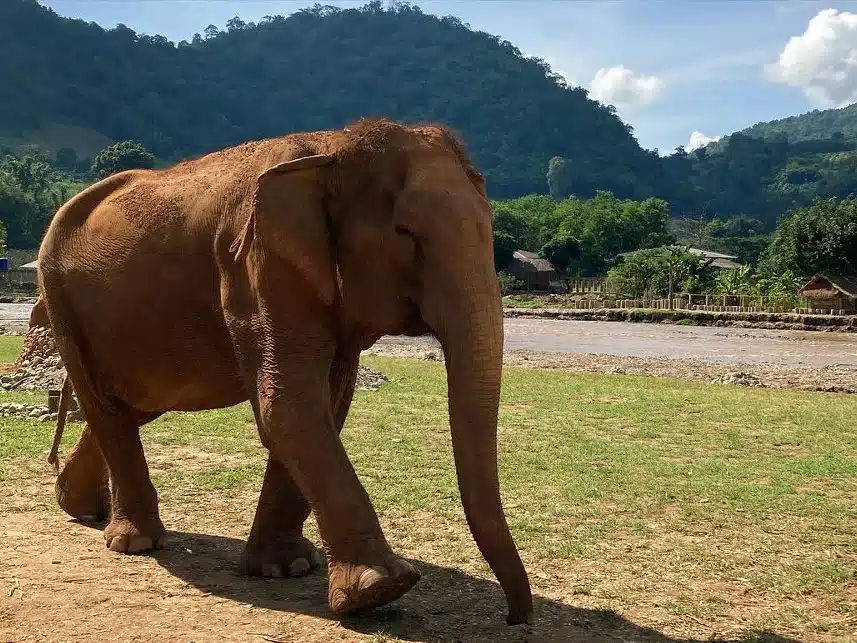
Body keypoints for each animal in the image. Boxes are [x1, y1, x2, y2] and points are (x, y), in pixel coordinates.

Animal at [37, 118, 532, 625]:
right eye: (404, 231)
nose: (514, 617)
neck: (332, 148)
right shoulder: (255, 265)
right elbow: (289, 408)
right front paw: (379, 589)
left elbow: (327, 407)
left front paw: (289, 567)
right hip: (59, 300)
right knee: (105, 406)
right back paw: (135, 542)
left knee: (133, 406)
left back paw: (79, 506)